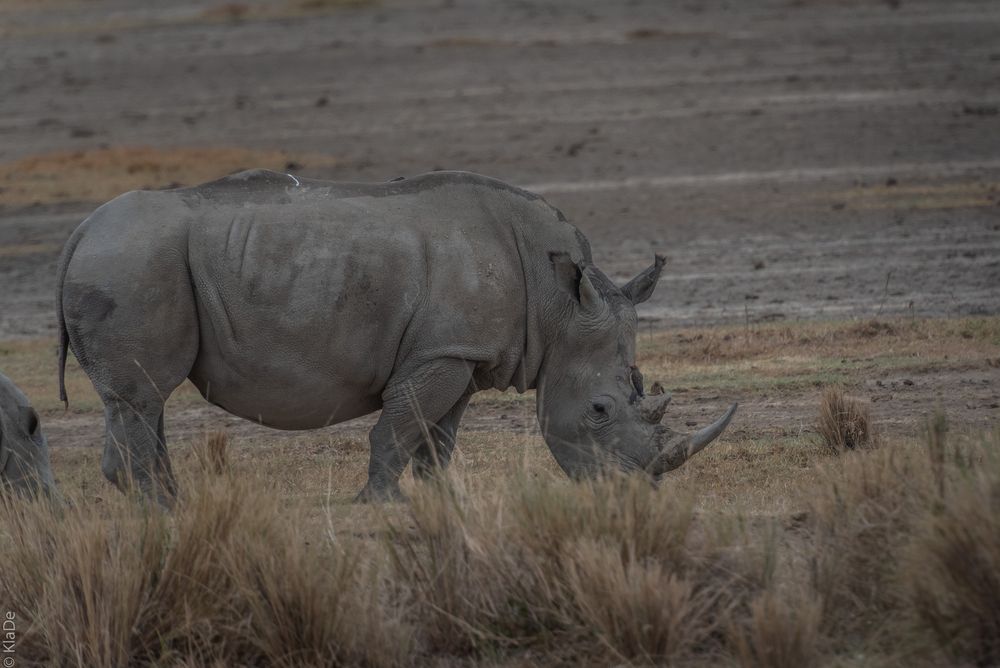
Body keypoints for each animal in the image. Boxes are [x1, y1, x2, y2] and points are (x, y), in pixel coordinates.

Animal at [58, 170, 740, 504]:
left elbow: (438, 438)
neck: (559, 307)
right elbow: (398, 426)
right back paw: (159, 511)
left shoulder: (461, 355)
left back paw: (171, 504)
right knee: (140, 396)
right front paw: (378, 503)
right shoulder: (441, 353)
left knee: (145, 399)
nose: (636, 492)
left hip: (131, 261)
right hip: (132, 263)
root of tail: (81, 231)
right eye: (599, 410)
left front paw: (441, 499)